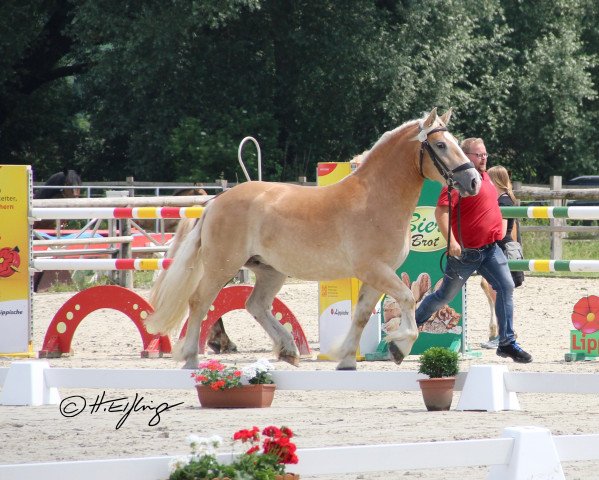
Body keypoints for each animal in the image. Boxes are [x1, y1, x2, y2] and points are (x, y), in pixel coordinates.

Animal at [145, 109, 482, 372]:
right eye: (441, 144)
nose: (473, 181)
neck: (375, 200)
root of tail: (215, 201)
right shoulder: (374, 270)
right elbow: (409, 299)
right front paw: (399, 347)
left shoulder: (377, 275)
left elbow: (361, 315)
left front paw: (346, 359)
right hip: (221, 266)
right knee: (200, 302)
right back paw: (190, 358)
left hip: (270, 270)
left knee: (256, 304)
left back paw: (288, 349)